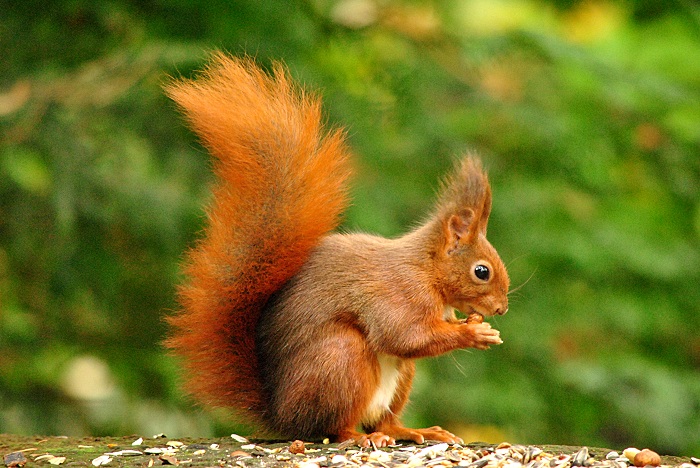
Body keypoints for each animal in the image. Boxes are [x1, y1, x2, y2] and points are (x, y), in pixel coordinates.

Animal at [167, 53, 512, 448]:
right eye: (481, 271)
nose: (501, 309)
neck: (426, 269)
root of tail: (283, 415)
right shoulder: (398, 293)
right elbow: (404, 335)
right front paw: (475, 334)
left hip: (397, 379)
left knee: (383, 421)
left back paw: (412, 430)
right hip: (341, 360)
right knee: (335, 427)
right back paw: (358, 437)